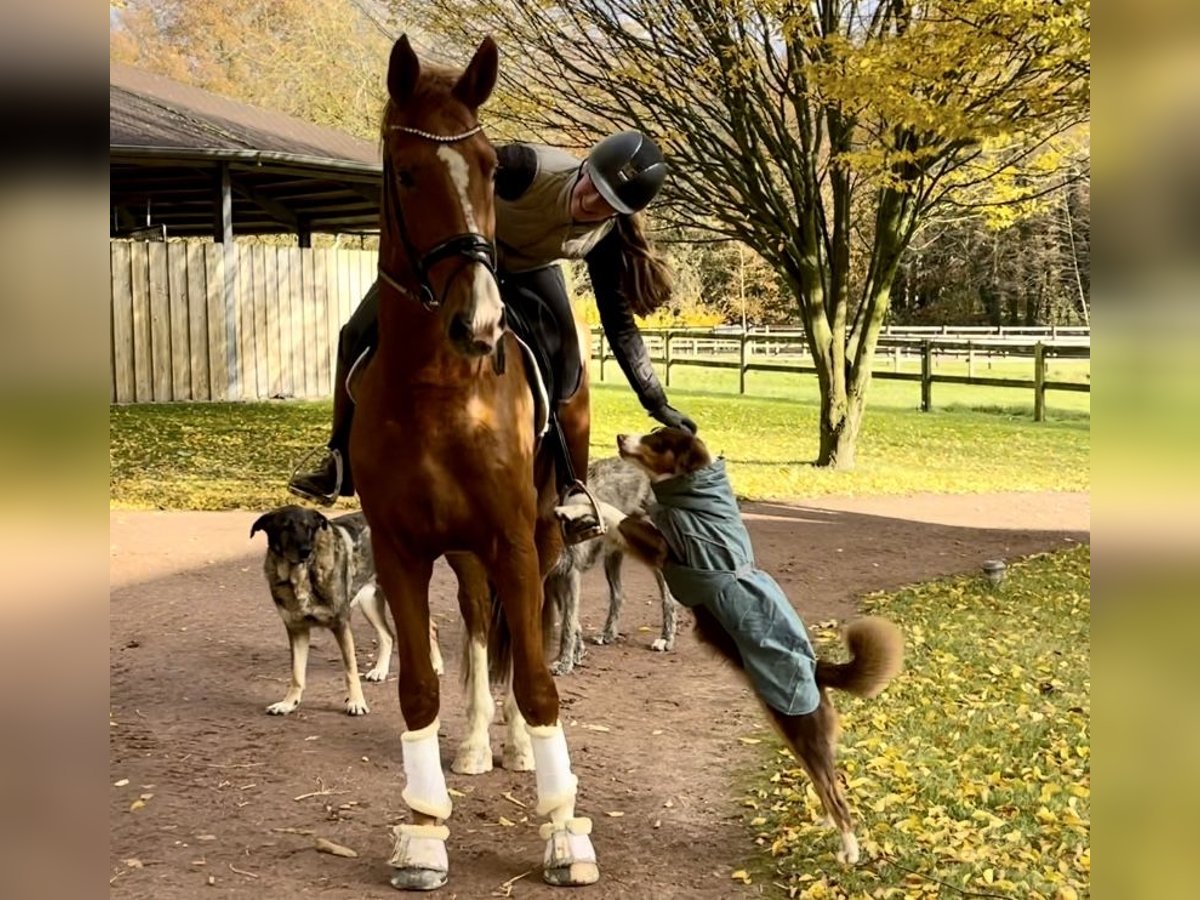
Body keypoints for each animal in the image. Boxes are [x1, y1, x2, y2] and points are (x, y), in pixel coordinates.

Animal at [250, 508, 444, 720]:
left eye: (309, 528)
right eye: (286, 527)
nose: (305, 551)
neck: (300, 576)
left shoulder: (341, 625)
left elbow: (351, 670)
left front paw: (357, 703)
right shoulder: (297, 630)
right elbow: (297, 674)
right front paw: (288, 704)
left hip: (402, 598)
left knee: (431, 627)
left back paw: (436, 665)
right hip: (370, 602)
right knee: (388, 635)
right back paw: (380, 670)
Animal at [352, 37, 600, 897]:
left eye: (493, 168)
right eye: (406, 173)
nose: (483, 323)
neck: (439, 391)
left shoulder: (518, 542)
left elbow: (538, 680)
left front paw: (562, 830)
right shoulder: (402, 552)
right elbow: (421, 687)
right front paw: (425, 830)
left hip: (542, 538)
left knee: (522, 643)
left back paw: (520, 748)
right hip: (462, 555)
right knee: (481, 629)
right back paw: (475, 746)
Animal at [549, 458, 681, 676]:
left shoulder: (569, 575)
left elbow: (568, 624)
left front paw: (565, 662)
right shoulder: (553, 579)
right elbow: (573, 622)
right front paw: (577, 652)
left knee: (668, 598)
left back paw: (666, 638)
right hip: (612, 558)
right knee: (619, 594)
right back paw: (609, 633)